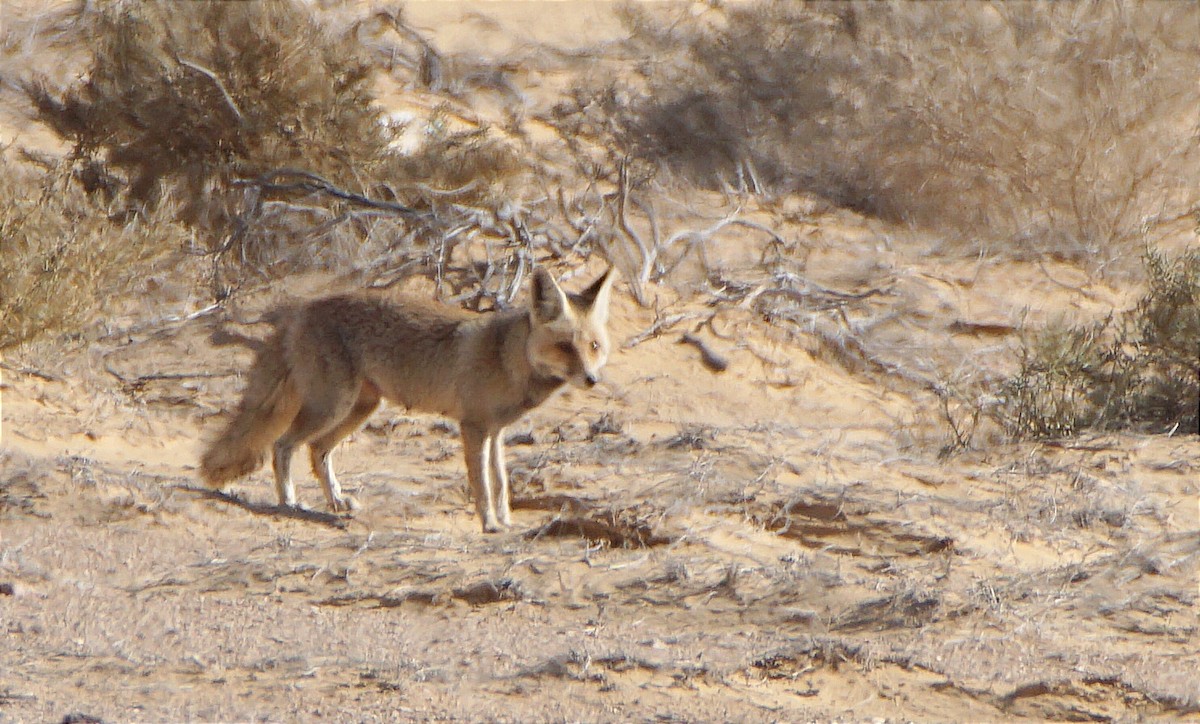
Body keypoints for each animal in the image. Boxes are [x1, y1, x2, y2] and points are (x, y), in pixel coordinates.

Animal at [199, 266, 616, 533]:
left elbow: (500, 483)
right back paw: (289, 502)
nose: (591, 379)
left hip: (359, 409)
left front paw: (506, 521)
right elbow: (481, 484)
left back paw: (336, 502)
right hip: (331, 406)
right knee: (283, 445)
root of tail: (302, 308)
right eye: (564, 347)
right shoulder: (473, 427)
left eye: (593, 347)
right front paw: (489, 525)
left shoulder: (495, 432)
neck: (506, 357)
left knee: (317, 450)